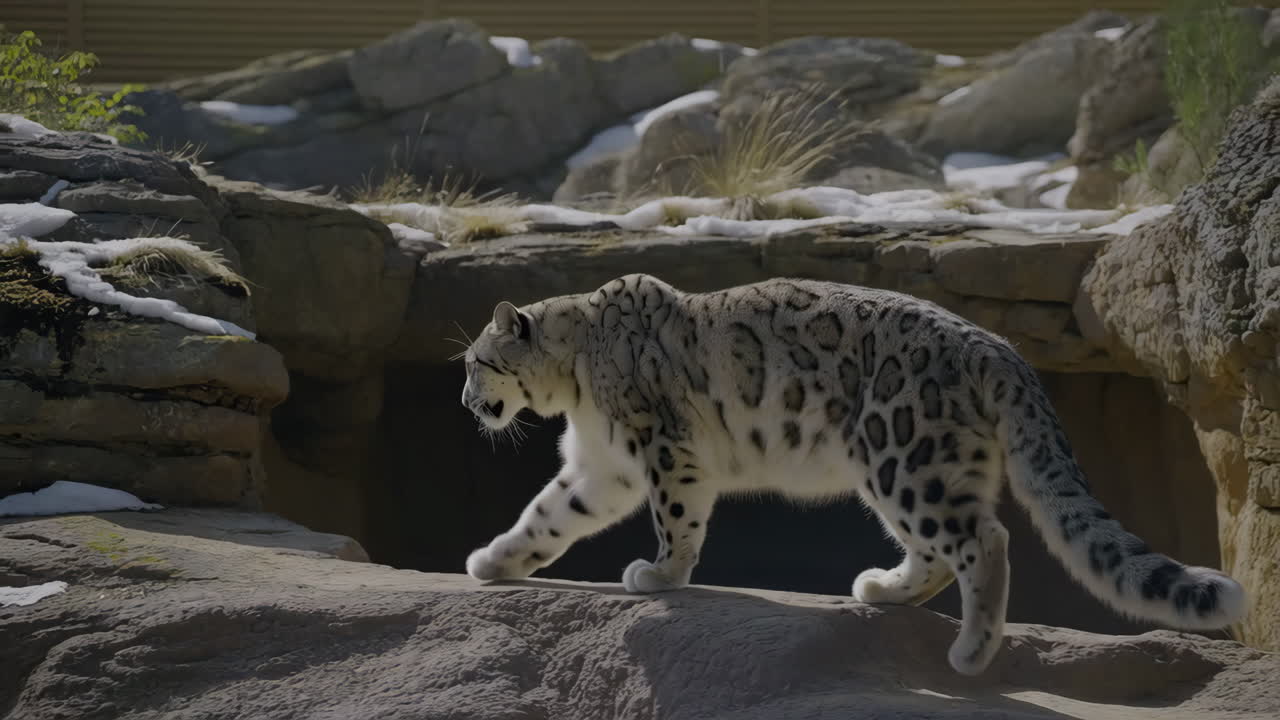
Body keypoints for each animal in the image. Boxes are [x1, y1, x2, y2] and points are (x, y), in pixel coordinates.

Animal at [458, 273, 1246, 675]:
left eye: (476, 361)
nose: (466, 403)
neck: (577, 387)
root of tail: (998, 347)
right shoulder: (602, 467)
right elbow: (549, 514)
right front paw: (493, 560)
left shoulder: (661, 448)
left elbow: (674, 517)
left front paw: (659, 575)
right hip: (909, 467)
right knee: (941, 548)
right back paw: (884, 589)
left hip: (903, 456)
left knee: (982, 540)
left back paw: (970, 651)